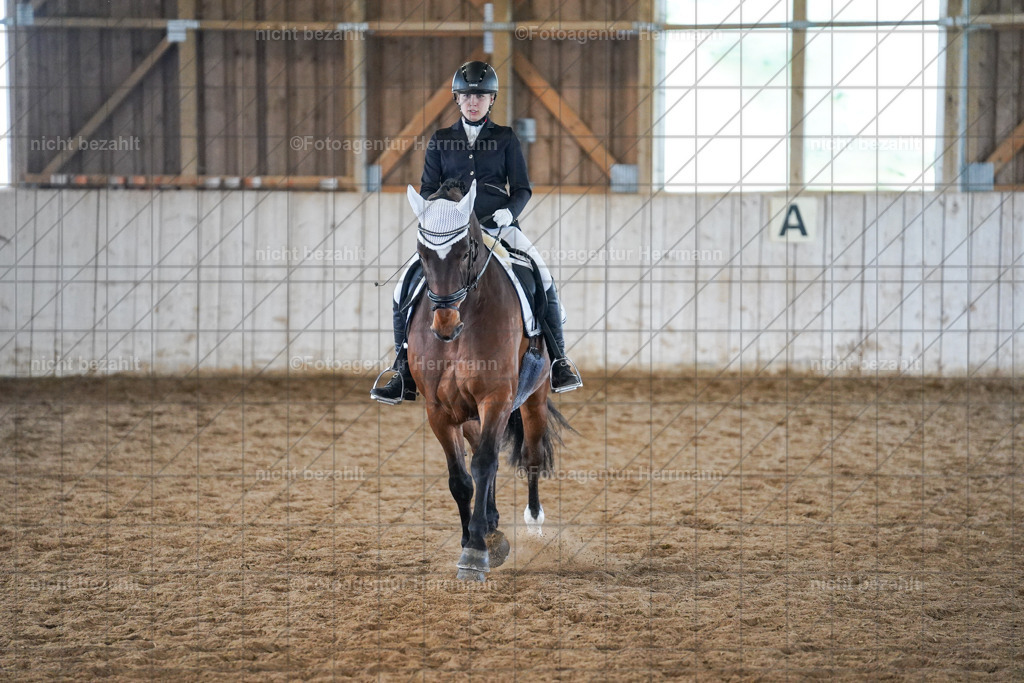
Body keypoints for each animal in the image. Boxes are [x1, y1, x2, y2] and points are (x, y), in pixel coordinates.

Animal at [404, 178, 571, 581]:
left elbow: (483, 465)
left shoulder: (496, 398)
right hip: (467, 413)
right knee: (484, 449)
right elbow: (461, 478)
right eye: (422, 253)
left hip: (533, 398)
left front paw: (476, 552)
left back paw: (532, 520)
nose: (445, 325)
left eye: (467, 250)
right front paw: (472, 540)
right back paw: (492, 523)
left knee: (528, 455)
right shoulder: (439, 410)